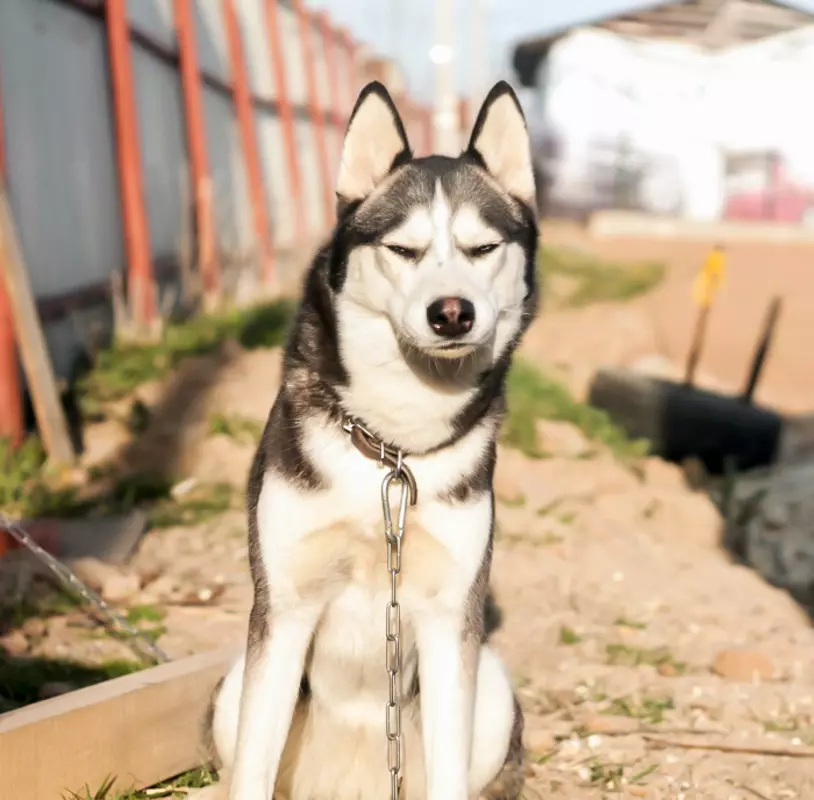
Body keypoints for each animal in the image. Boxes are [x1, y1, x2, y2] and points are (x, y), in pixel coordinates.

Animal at [210, 79, 540, 800]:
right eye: (403, 250)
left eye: (482, 250)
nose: (452, 313)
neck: (391, 451)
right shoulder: (283, 610)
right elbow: (250, 770)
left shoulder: (451, 621)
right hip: (231, 687)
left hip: (494, 691)